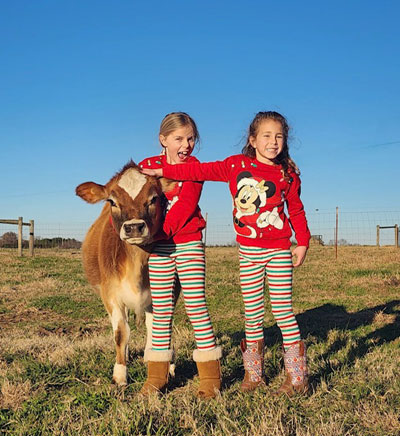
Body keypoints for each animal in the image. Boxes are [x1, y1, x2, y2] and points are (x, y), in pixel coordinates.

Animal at [75, 161, 177, 386]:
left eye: (154, 198)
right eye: (112, 201)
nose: (134, 227)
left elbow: (158, 327)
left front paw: (161, 361)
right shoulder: (110, 294)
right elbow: (121, 332)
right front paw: (120, 374)